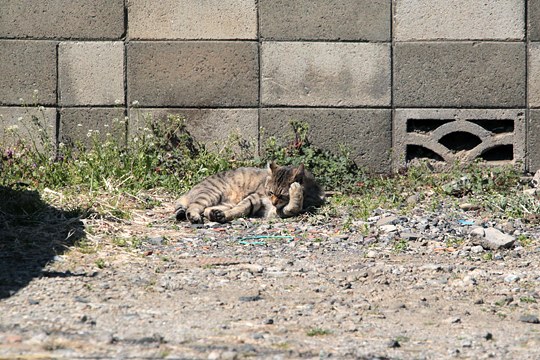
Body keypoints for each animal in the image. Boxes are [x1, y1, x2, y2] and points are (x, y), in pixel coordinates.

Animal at [175, 162, 322, 224]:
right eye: (270, 192)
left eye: (282, 196)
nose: (273, 202)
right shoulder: (256, 197)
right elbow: (240, 208)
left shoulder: (274, 211)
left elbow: (293, 207)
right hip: (211, 193)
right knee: (193, 206)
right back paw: (194, 216)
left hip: (223, 202)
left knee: (206, 209)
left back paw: (213, 213)